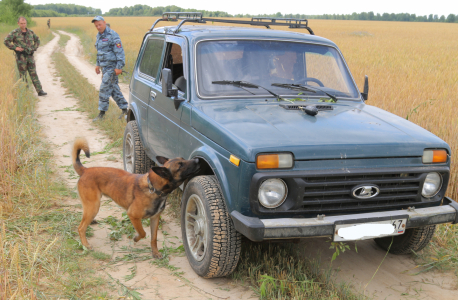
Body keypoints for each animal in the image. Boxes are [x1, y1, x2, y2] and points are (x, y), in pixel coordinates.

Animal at [71, 138, 200, 258]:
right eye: (180, 166)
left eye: (183, 159)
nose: (198, 160)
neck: (153, 188)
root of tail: (86, 170)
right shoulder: (133, 215)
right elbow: (143, 233)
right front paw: (136, 238)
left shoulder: (155, 218)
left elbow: (153, 238)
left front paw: (155, 252)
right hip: (94, 205)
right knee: (81, 228)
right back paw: (86, 244)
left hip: (91, 206)